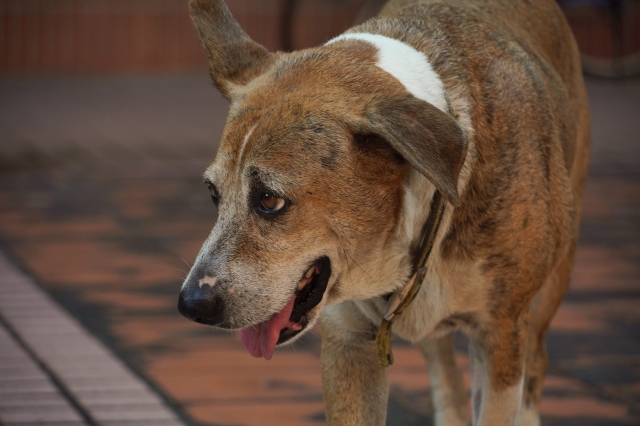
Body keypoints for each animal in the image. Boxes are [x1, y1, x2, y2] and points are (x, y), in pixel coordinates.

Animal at [178, 0, 592, 422]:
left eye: (270, 200)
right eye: (212, 193)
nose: (191, 305)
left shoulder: (501, 335)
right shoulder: (348, 342)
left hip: (549, 290)